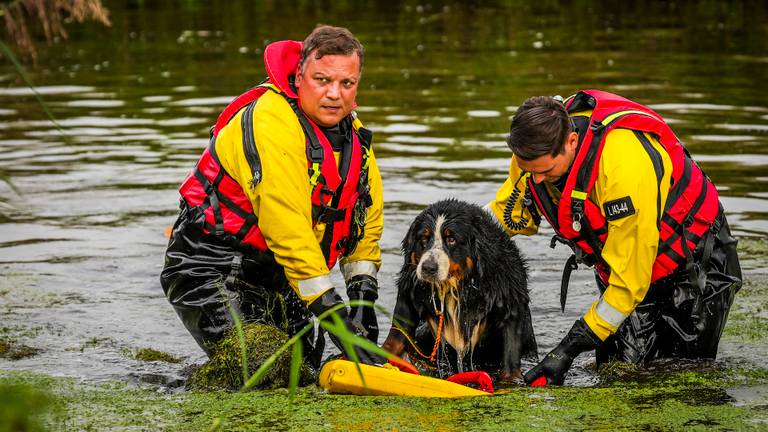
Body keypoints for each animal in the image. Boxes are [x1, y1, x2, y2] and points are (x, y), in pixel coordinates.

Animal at [380, 199, 536, 382]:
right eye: (424, 238)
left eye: (452, 239)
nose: (428, 268)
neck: (458, 285)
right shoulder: (410, 292)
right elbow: (396, 336)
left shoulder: (509, 303)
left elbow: (510, 354)